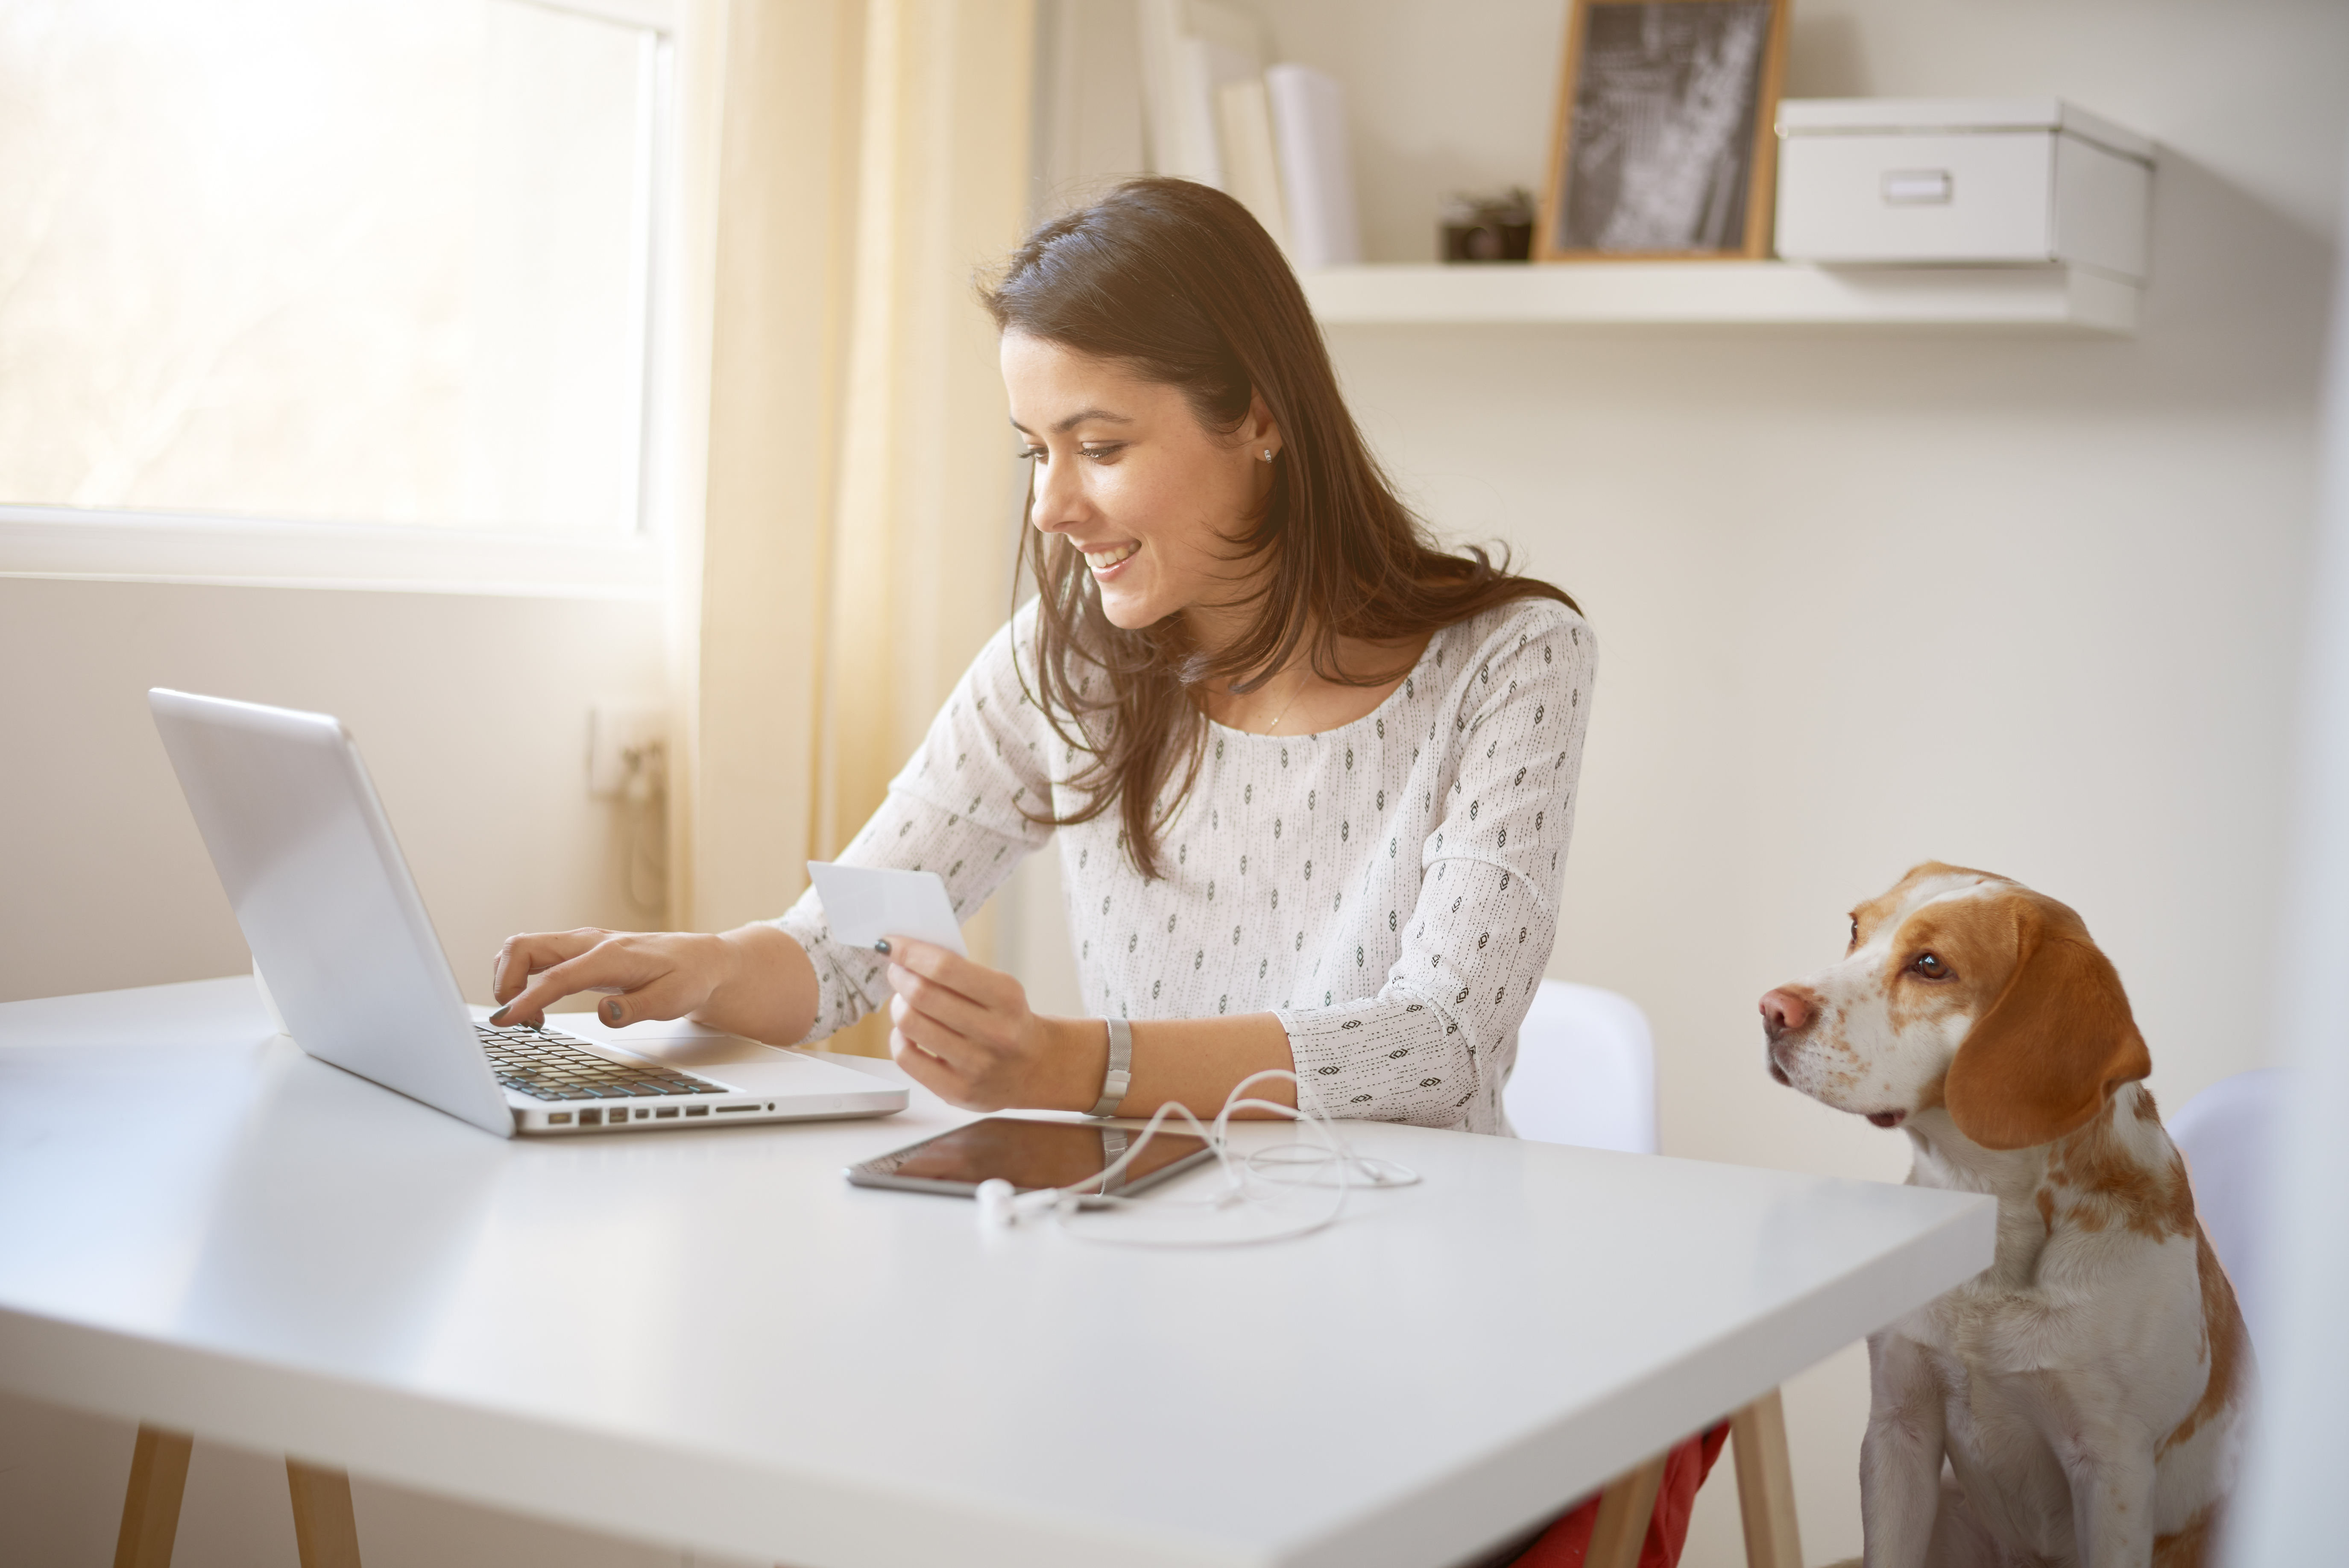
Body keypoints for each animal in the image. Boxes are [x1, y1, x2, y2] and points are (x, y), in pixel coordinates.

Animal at [1766, 865, 2246, 1568]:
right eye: (1855, 927)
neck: (1992, 1218)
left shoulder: (2112, 1469)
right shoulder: (1899, 1425)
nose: (1771, 1009)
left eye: (1931, 964)